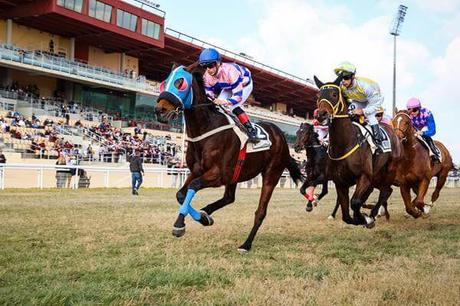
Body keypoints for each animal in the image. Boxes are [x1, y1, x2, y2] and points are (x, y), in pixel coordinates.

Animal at [155, 64, 304, 251]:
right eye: (164, 81)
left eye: (180, 82)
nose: (159, 110)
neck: (206, 129)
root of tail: (281, 136)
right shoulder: (197, 170)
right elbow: (181, 194)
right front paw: (201, 218)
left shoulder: (218, 174)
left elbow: (193, 186)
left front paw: (180, 224)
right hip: (236, 174)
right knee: (229, 198)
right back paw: (206, 212)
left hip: (272, 173)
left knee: (260, 211)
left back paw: (246, 244)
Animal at [314, 75, 400, 226]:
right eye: (318, 95)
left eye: (334, 94)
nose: (321, 115)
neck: (345, 144)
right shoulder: (340, 182)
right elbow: (347, 215)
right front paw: (360, 217)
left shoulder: (364, 176)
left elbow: (354, 202)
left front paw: (366, 218)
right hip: (376, 174)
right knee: (384, 191)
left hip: (389, 171)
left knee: (385, 191)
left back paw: (374, 213)